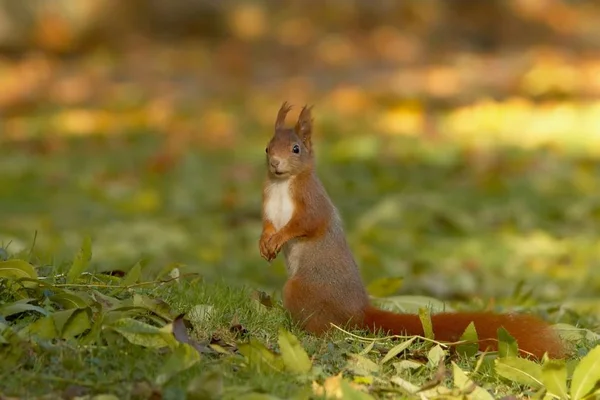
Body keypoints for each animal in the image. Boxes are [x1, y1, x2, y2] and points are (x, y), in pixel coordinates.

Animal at [258, 102, 568, 360]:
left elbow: (306, 224)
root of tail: (358, 312)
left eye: (296, 149)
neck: (282, 184)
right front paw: (265, 243)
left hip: (301, 290)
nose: (274, 163)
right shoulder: (269, 207)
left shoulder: (312, 203)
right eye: (267, 147)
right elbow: (269, 225)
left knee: (325, 328)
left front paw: (279, 239)